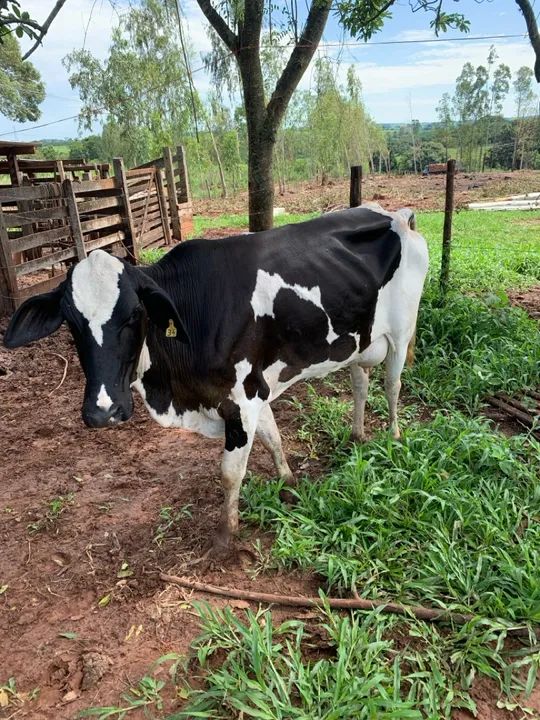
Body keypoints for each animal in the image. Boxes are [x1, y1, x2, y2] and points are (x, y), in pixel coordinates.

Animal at [3, 204, 429, 553]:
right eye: (70, 321)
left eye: (134, 314)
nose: (102, 412)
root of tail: (397, 213)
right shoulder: (255, 389)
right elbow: (273, 437)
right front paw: (289, 484)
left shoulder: (242, 397)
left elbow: (230, 471)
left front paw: (226, 535)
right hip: (359, 340)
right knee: (360, 382)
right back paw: (357, 436)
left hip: (402, 332)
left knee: (392, 386)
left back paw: (392, 438)